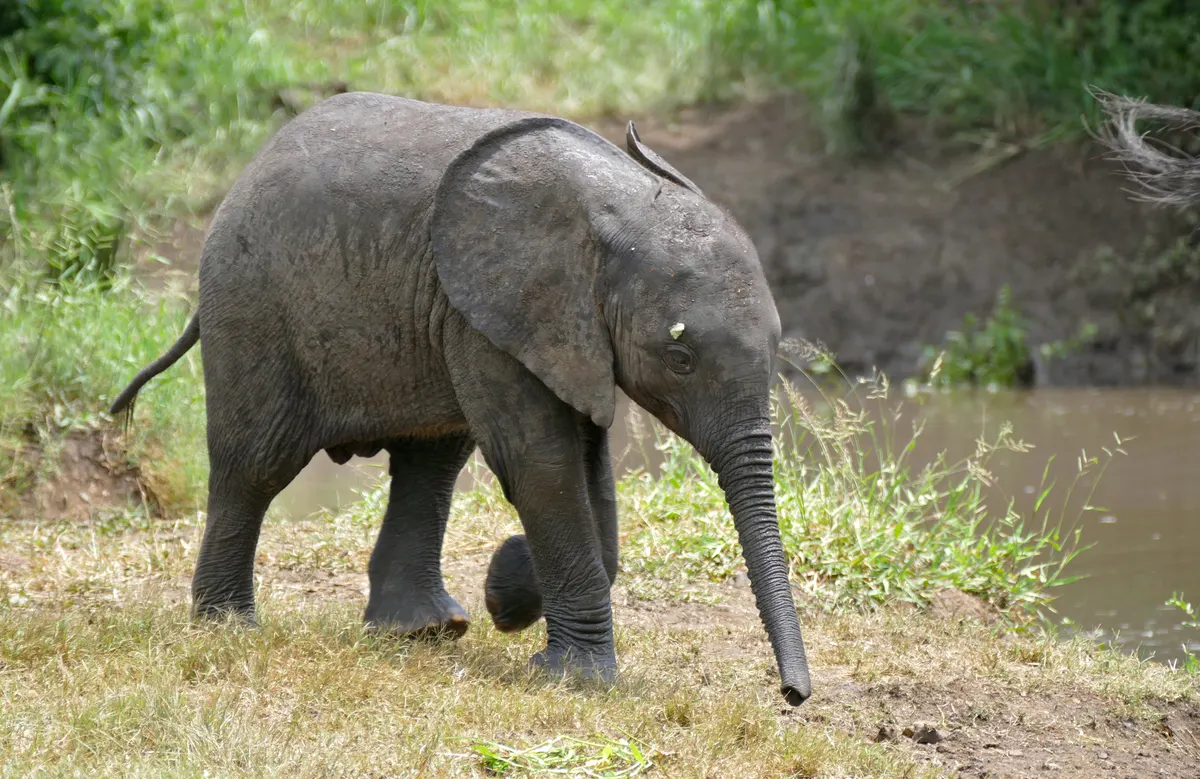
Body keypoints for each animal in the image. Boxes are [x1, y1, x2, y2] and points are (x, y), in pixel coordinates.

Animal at [109, 92, 812, 706]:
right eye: (680, 359)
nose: (792, 695)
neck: (622, 205)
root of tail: (247, 170)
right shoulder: (495, 316)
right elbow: (542, 465)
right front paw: (575, 679)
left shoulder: (557, 329)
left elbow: (589, 468)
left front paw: (507, 595)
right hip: (251, 301)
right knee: (255, 464)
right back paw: (229, 628)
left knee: (431, 461)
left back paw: (425, 631)